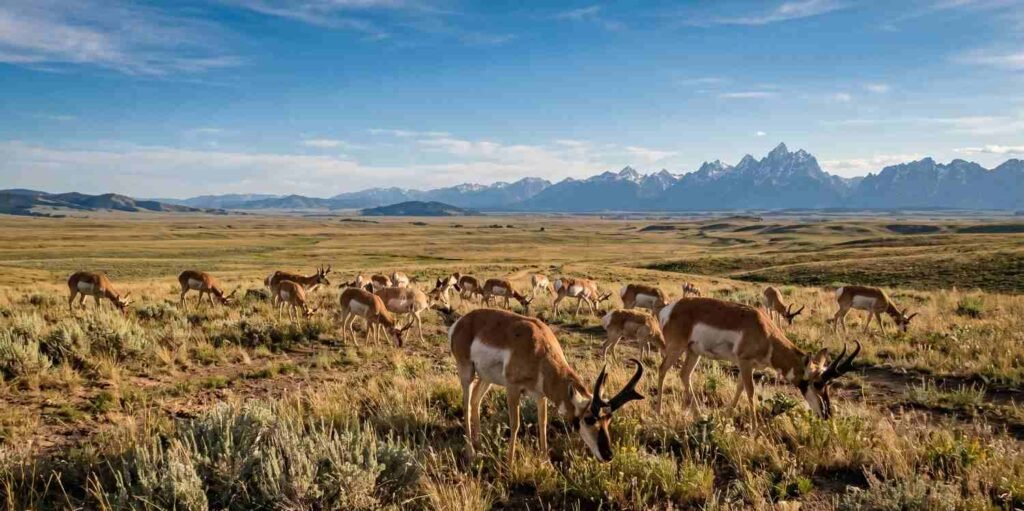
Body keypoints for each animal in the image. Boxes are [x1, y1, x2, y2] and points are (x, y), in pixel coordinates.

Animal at [449, 308, 645, 463]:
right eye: (589, 419)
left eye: (609, 419)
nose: (608, 455)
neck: (538, 348)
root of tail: (462, 321)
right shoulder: (512, 388)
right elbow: (515, 424)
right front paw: (510, 463)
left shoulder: (540, 395)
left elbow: (542, 423)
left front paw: (545, 462)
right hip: (467, 373)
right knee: (466, 405)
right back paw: (471, 452)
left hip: (486, 378)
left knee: (475, 401)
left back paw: (479, 444)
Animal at [656, 297, 861, 422]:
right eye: (818, 383)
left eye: (829, 384)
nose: (827, 414)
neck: (764, 331)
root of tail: (669, 308)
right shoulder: (744, 363)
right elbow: (750, 391)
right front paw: (755, 432)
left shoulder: (750, 366)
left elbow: (740, 388)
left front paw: (727, 417)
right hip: (676, 348)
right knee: (662, 369)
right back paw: (658, 411)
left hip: (694, 352)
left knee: (684, 374)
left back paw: (699, 416)